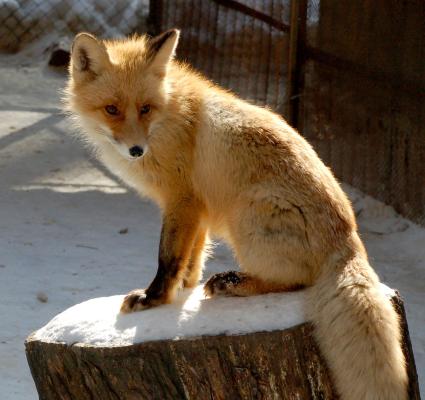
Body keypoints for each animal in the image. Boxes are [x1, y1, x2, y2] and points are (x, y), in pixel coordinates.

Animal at [65, 28, 408, 400]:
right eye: (111, 109)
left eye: (144, 108)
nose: (136, 150)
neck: (168, 117)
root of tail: (350, 240)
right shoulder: (196, 209)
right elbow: (191, 258)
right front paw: (185, 289)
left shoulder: (182, 200)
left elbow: (168, 259)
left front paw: (154, 299)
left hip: (246, 217)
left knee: (295, 281)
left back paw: (233, 282)